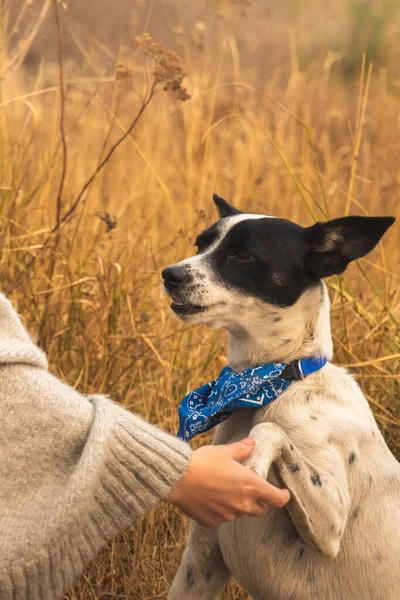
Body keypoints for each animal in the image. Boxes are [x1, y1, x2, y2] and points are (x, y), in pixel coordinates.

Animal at [161, 197, 398, 600]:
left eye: (242, 255)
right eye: (201, 244)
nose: (169, 275)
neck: (269, 384)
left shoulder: (332, 523)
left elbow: (271, 430)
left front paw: (252, 466)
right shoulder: (201, 560)